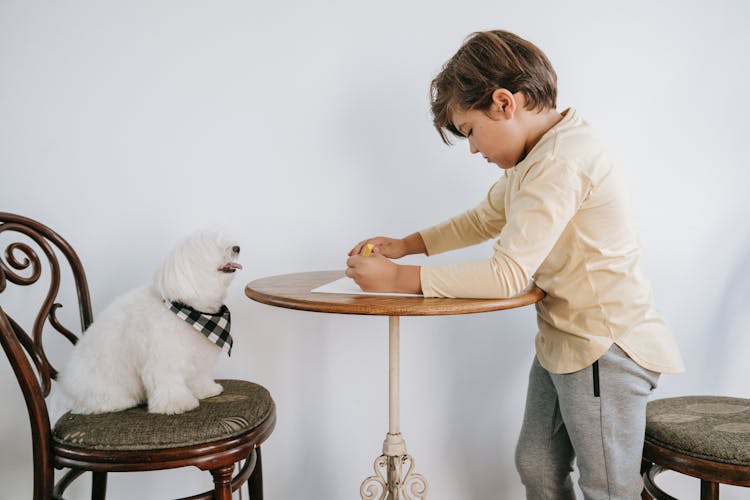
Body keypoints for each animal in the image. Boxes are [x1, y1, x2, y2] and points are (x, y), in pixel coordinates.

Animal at [58, 230, 242, 414]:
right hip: (104, 383)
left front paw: (206, 390)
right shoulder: (164, 357)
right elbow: (168, 381)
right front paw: (177, 403)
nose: (237, 247)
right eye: (215, 246)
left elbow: (200, 376)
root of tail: (66, 388)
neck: (191, 312)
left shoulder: (198, 357)